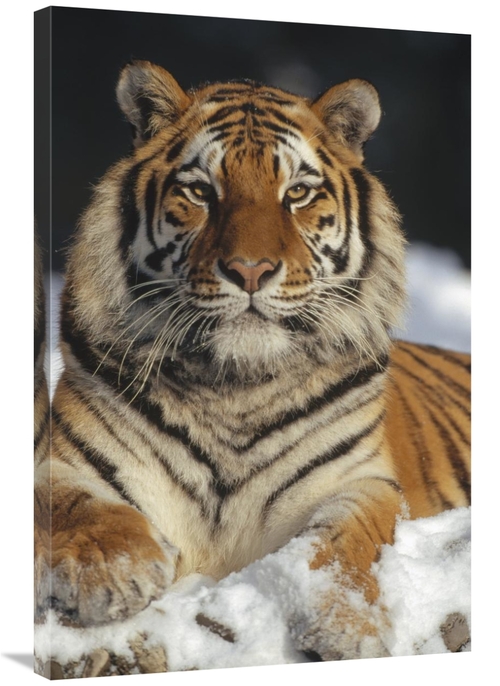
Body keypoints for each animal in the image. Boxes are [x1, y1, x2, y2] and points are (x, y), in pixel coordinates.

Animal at [34, 60, 470, 664]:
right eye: (200, 191)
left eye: (298, 194)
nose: (250, 270)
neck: (234, 385)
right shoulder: (63, 456)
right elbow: (70, 500)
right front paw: (113, 571)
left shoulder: (361, 480)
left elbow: (349, 540)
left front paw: (346, 625)